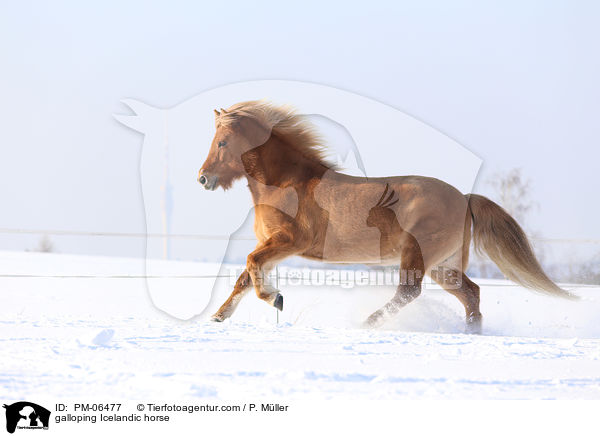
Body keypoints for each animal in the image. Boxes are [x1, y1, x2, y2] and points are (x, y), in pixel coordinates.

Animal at [199, 101, 576, 334]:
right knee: (471, 293)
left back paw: (366, 323)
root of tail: (464, 198)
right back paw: (471, 331)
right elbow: (244, 276)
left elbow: (251, 266)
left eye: (222, 143)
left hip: (417, 255)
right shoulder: (272, 244)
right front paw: (217, 318)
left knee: (409, 292)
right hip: (445, 265)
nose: (203, 178)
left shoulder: (290, 241)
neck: (288, 183)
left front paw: (275, 298)